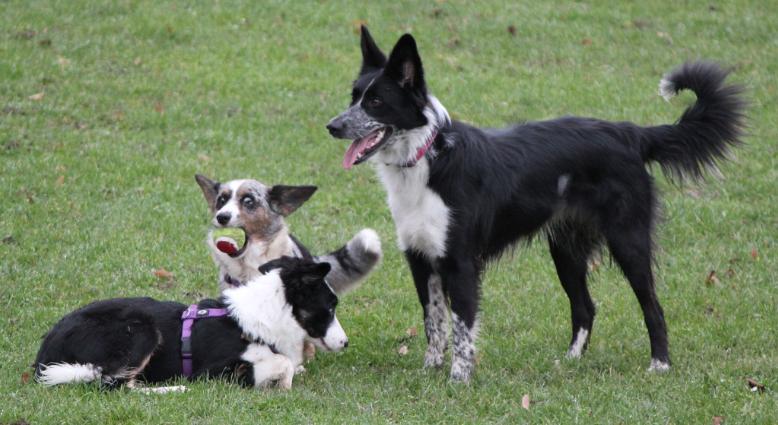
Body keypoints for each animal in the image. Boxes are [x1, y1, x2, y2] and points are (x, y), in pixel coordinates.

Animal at [35, 256, 346, 390]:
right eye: (331, 306)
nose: (345, 343)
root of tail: (43, 355)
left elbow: (288, 362)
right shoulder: (216, 371)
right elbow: (282, 363)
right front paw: (283, 382)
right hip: (142, 331)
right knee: (115, 385)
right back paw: (174, 388)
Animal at [324, 28, 744, 382]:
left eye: (376, 101)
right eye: (353, 97)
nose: (332, 126)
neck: (428, 158)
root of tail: (630, 133)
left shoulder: (460, 263)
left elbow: (461, 325)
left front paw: (459, 379)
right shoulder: (420, 258)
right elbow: (434, 321)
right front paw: (431, 368)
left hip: (628, 241)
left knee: (653, 307)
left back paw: (659, 365)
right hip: (565, 249)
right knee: (585, 306)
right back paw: (571, 361)